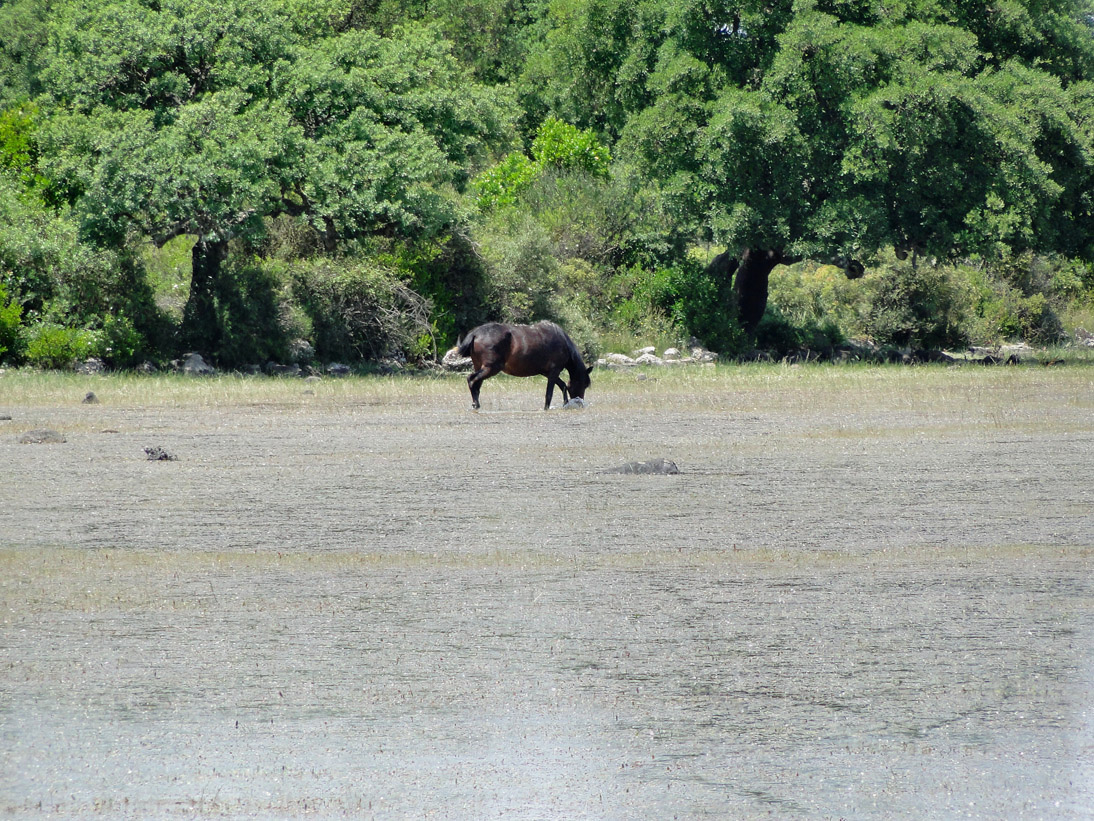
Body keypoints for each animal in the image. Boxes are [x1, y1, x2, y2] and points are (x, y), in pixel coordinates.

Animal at [455, 321, 595, 411]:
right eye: (583, 384)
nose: (580, 401)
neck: (563, 343)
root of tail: (475, 334)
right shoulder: (554, 371)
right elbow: (550, 393)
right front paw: (546, 408)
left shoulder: (547, 372)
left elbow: (563, 386)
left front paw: (565, 404)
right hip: (491, 368)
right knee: (472, 380)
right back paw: (475, 404)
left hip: (481, 367)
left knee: (477, 385)